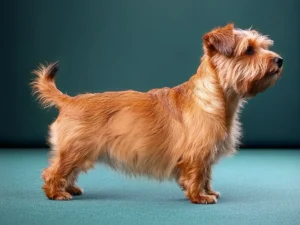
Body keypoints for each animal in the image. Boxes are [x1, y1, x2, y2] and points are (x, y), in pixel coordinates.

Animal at [31, 23, 282, 203]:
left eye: (263, 46)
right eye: (248, 50)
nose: (279, 60)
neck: (216, 98)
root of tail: (69, 101)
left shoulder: (206, 155)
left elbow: (207, 175)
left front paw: (209, 191)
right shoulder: (197, 155)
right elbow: (198, 175)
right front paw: (199, 197)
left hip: (80, 153)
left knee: (67, 171)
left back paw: (70, 188)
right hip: (75, 150)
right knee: (52, 171)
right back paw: (56, 193)